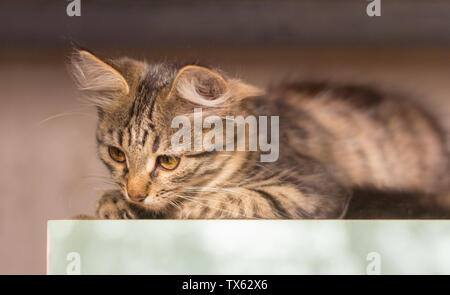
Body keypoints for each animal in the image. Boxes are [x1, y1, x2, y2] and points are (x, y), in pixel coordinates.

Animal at [68, 48, 448, 220]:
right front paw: (111, 203)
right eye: (117, 154)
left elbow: (229, 199)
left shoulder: (312, 187)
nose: (134, 194)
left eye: (168, 162)